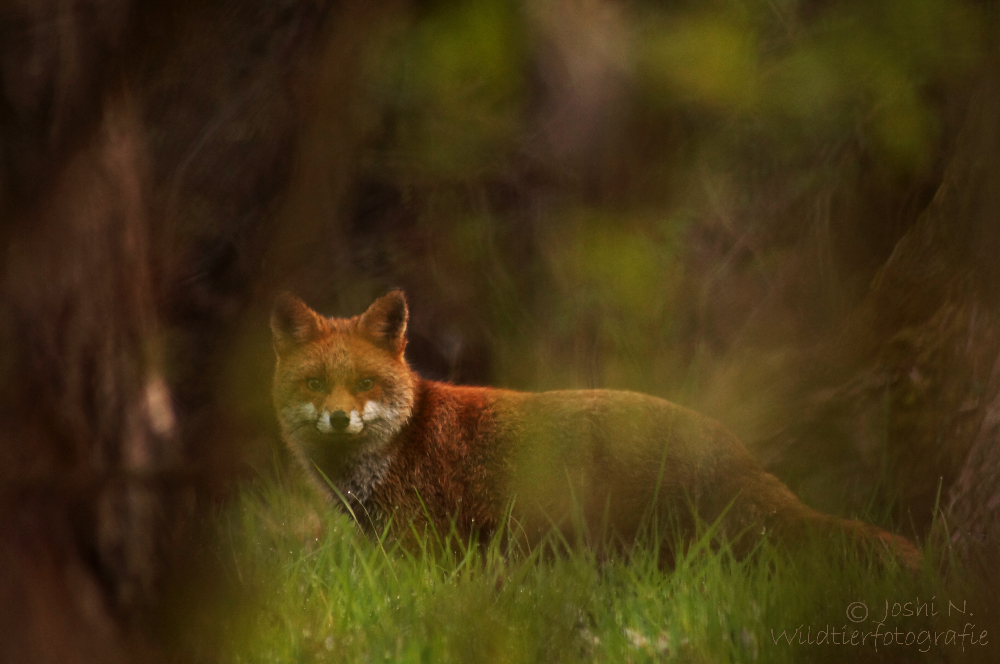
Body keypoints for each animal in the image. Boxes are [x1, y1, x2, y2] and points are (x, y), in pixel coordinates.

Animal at [270, 290, 916, 564]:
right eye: (314, 385)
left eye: (365, 383)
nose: (338, 417)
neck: (401, 442)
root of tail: (739, 452)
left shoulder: (423, 540)